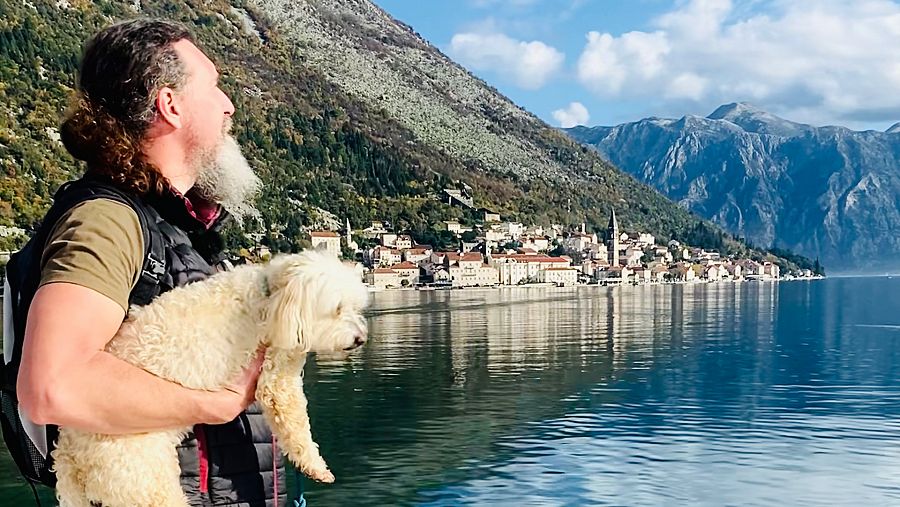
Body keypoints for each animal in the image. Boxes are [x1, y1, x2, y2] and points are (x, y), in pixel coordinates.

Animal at [51, 250, 370, 507]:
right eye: (337, 309)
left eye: (356, 307)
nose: (361, 339)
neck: (272, 297)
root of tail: (69, 453)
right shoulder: (277, 376)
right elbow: (296, 426)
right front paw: (316, 466)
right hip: (144, 482)